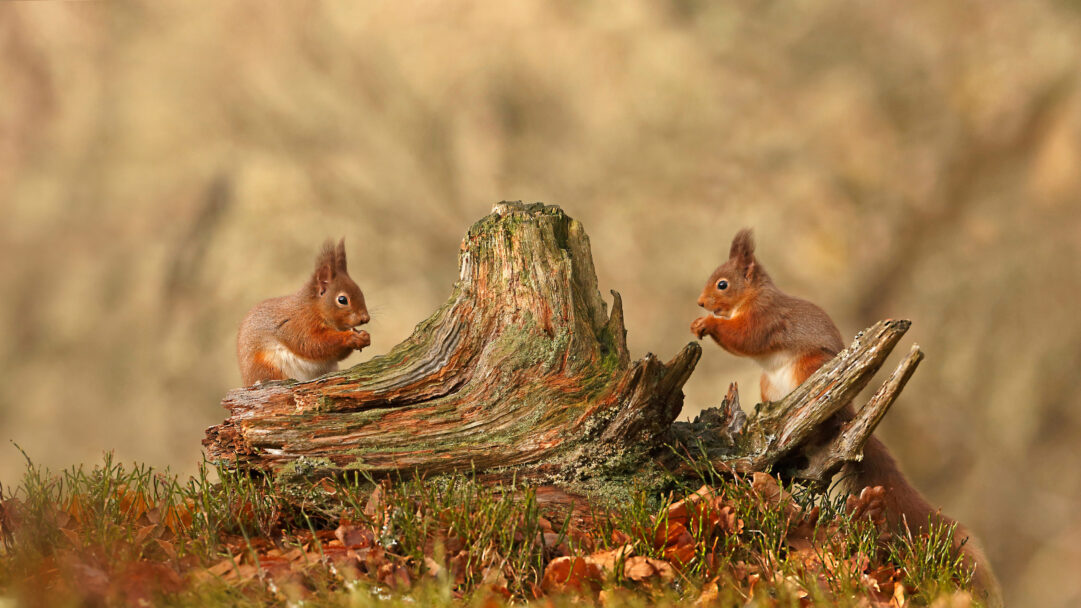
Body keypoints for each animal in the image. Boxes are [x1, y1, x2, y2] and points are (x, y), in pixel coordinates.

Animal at [237, 239, 371, 386]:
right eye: (342, 300)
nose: (365, 318)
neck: (313, 309)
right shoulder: (298, 325)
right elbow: (312, 344)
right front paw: (352, 337)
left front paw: (365, 336)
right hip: (267, 367)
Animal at [691, 229, 1001, 604]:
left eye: (722, 284)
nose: (701, 303)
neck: (751, 297)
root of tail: (848, 415)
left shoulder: (766, 318)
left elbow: (745, 337)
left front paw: (707, 324)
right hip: (768, 385)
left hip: (811, 370)